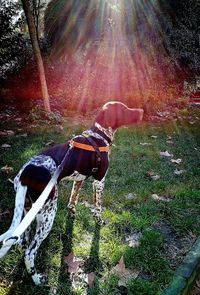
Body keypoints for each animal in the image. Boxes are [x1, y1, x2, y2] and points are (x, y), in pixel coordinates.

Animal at [0, 101, 144, 284]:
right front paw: (99, 221)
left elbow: (72, 200)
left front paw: (72, 214)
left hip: (28, 210)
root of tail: (26, 172)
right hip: (48, 213)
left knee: (22, 241)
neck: (98, 136)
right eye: (125, 109)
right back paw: (37, 279)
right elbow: (98, 207)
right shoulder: (99, 181)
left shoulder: (79, 180)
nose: (141, 111)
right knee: (30, 251)